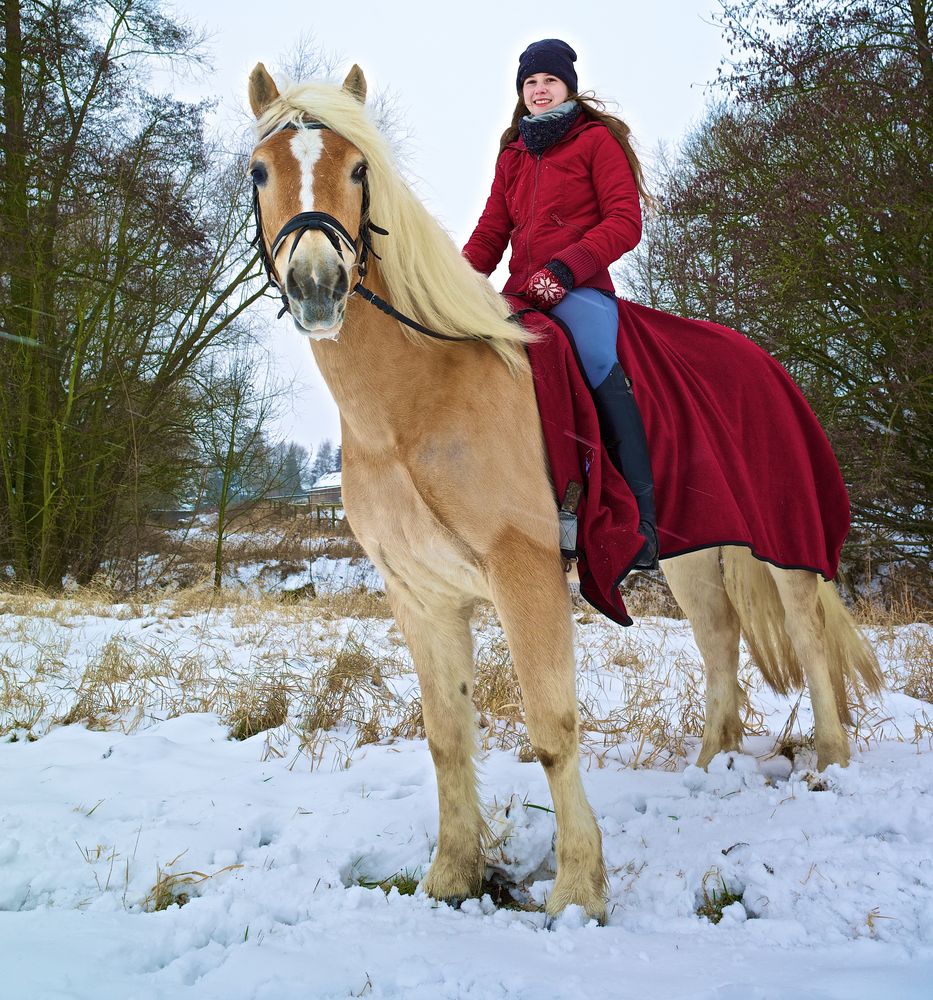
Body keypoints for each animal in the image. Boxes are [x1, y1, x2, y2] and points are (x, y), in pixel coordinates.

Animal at [244, 60, 876, 920]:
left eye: (358, 168)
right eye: (260, 170)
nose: (317, 284)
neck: (417, 402)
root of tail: (767, 365)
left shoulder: (526, 575)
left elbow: (550, 726)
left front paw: (577, 888)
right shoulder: (418, 593)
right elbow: (446, 734)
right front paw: (451, 877)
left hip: (785, 541)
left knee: (809, 639)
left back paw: (830, 765)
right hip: (692, 554)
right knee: (719, 643)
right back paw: (709, 772)